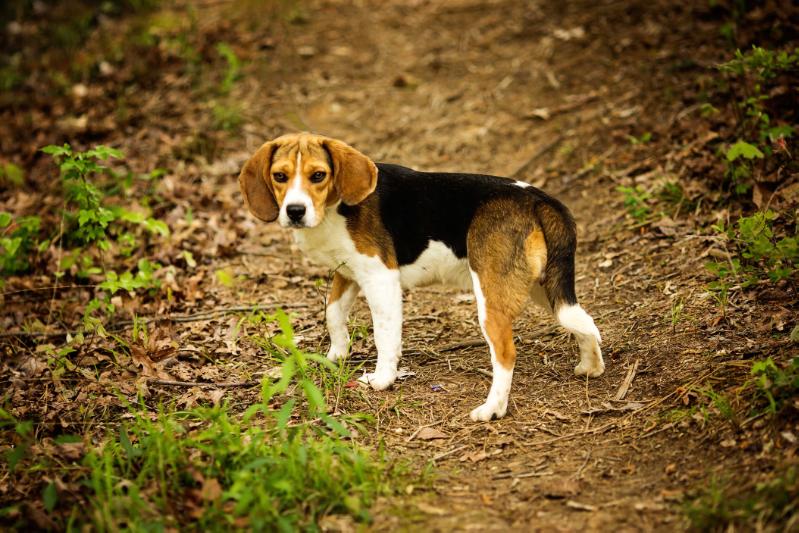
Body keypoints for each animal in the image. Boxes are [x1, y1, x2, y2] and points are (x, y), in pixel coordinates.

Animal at [241, 132, 604, 420]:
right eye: (280, 176)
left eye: (318, 175)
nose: (295, 211)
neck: (335, 208)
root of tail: (537, 198)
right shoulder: (348, 273)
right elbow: (332, 315)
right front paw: (335, 356)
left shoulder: (381, 278)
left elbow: (384, 336)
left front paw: (382, 379)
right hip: (543, 286)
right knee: (584, 321)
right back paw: (591, 366)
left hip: (492, 295)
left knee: (505, 352)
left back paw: (492, 409)